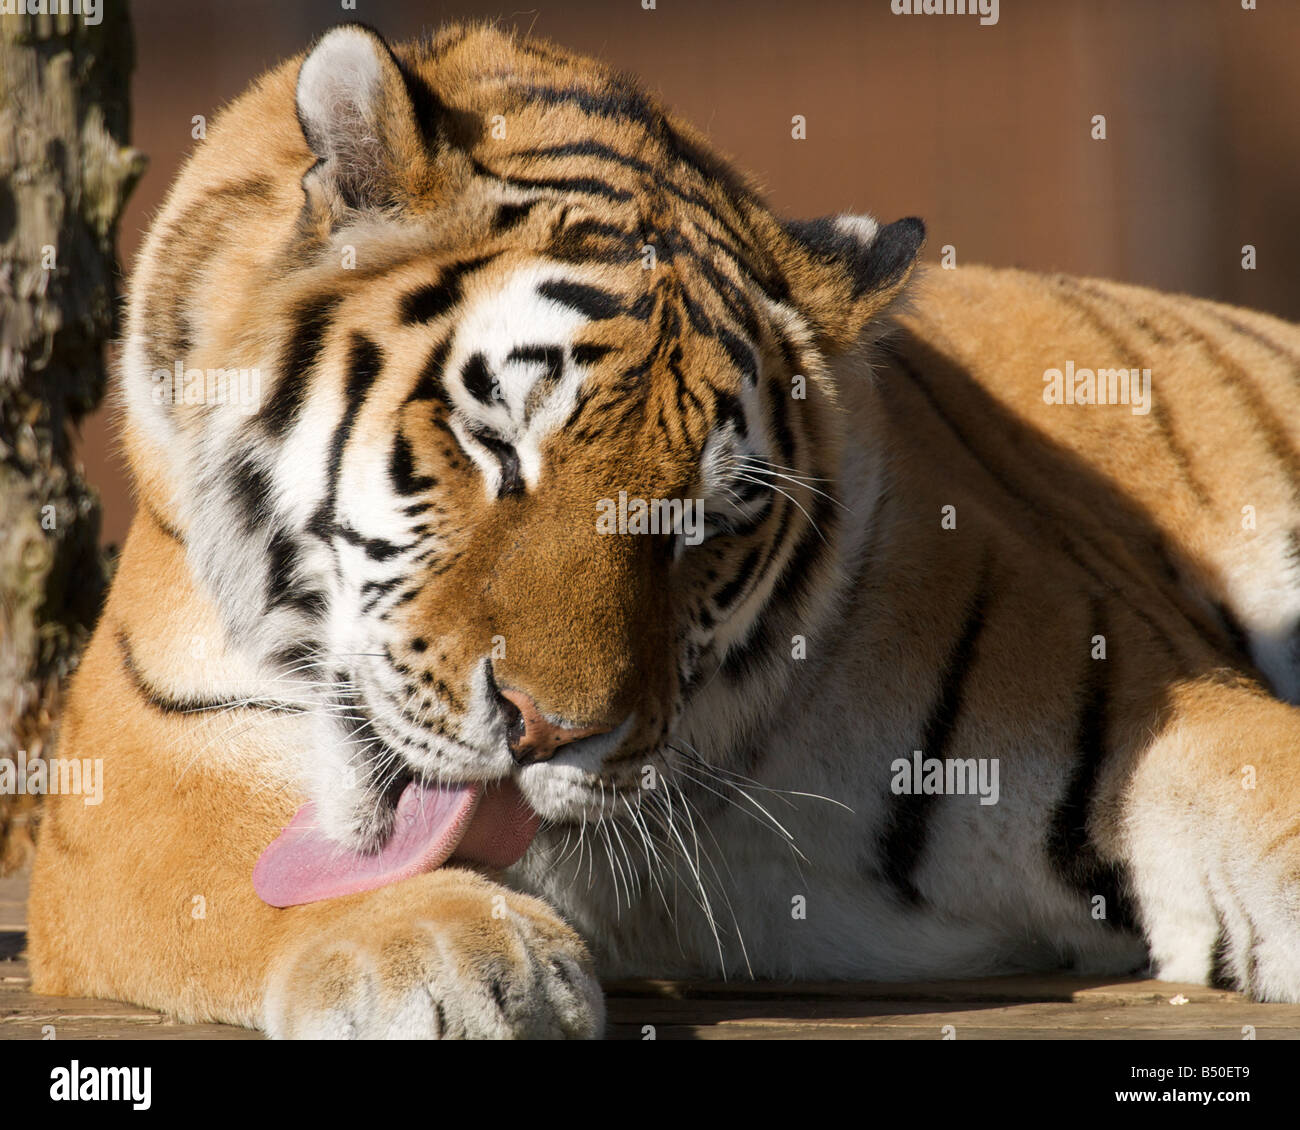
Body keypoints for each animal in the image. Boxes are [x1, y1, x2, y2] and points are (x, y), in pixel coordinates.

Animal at [22, 19, 1300, 1040]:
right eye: (496, 437)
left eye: (705, 521)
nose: (549, 733)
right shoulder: (133, 773)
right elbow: (249, 867)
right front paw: (457, 962)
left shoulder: (1148, 708)